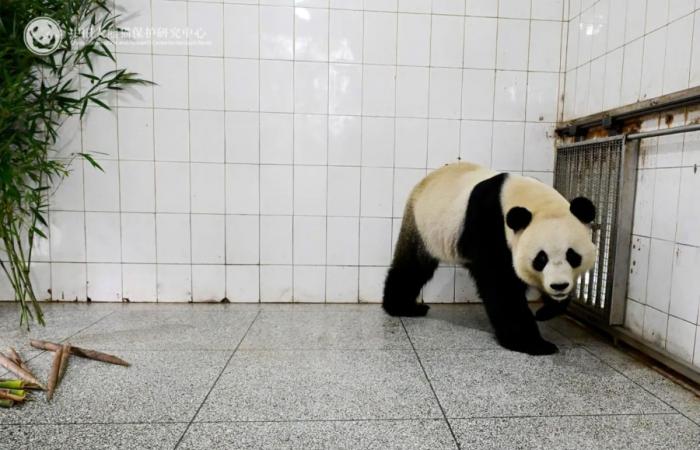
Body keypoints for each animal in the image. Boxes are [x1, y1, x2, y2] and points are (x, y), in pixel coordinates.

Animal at [382, 162, 596, 356]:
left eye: (572, 256)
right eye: (541, 259)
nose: (559, 286)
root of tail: (423, 182)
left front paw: (546, 311)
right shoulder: (490, 225)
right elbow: (500, 284)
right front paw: (532, 344)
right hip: (423, 226)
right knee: (413, 267)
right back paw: (404, 307)